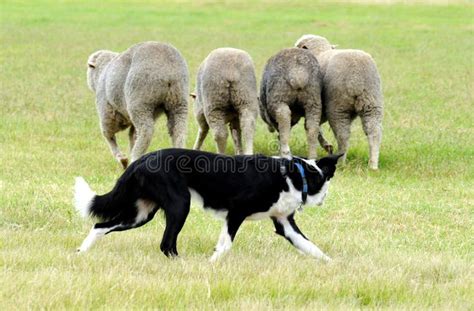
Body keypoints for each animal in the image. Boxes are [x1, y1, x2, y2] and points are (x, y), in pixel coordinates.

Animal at [73, 150, 340, 262]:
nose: (325, 199)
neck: (296, 175)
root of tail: (141, 160)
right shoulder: (236, 212)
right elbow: (226, 245)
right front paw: (211, 263)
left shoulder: (284, 224)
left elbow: (311, 247)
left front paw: (332, 265)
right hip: (180, 205)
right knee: (166, 243)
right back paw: (183, 265)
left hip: (141, 214)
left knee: (99, 225)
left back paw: (81, 252)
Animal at [87, 41, 189, 169]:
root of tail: (168, 70)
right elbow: (132, 134)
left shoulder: (107, 110)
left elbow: (108, 134)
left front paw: (122, 159)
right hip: (179, 102)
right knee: (178, 130)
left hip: (140, 103)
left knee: (146, 131)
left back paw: (134, 158)